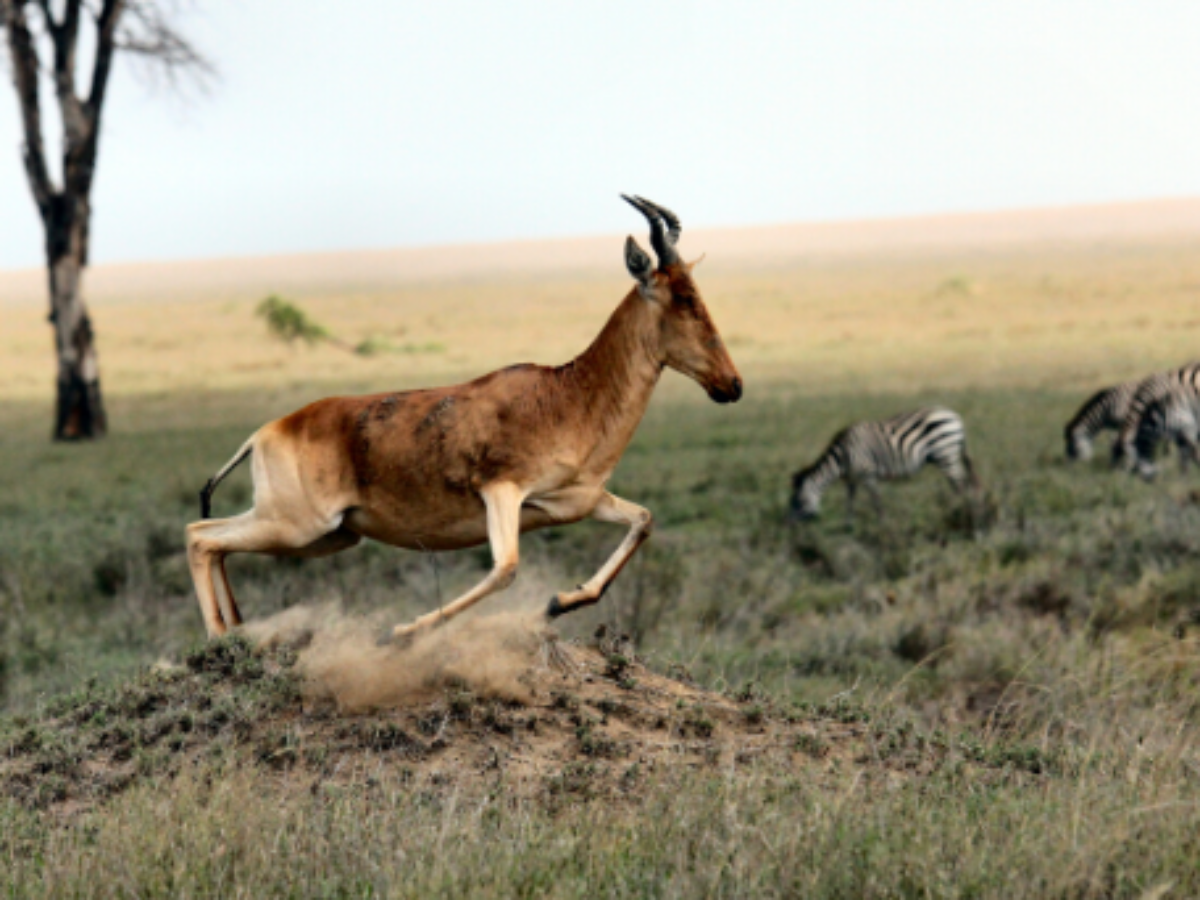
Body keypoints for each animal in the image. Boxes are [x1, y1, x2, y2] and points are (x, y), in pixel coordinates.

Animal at [184, 200, 739, 643]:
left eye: (697, 292)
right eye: (682, 299)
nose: (731, 385)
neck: (566, 393)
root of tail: (266, 432)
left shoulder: (578, 502)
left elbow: (643, 521)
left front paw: (560, 602)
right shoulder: (501, 491)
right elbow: (505, 569)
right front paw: (403, 630)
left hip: (329, 535)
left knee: (213, 540)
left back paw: (237, 630)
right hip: (298, 525)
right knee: (199, 534)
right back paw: (219, 639)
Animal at [787, 408, 974, 520]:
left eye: (798, 501)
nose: (790, 527)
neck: (842, 458)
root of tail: (954, 415)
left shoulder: (868, 474)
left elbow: (876, 502)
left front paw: (883, 525)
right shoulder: (852, 479)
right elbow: (849, 503)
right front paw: (848, 526)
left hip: (946, 454)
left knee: (961, 485)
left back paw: (957, 510)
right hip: (947, 456)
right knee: (960, 484)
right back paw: (955, 509)